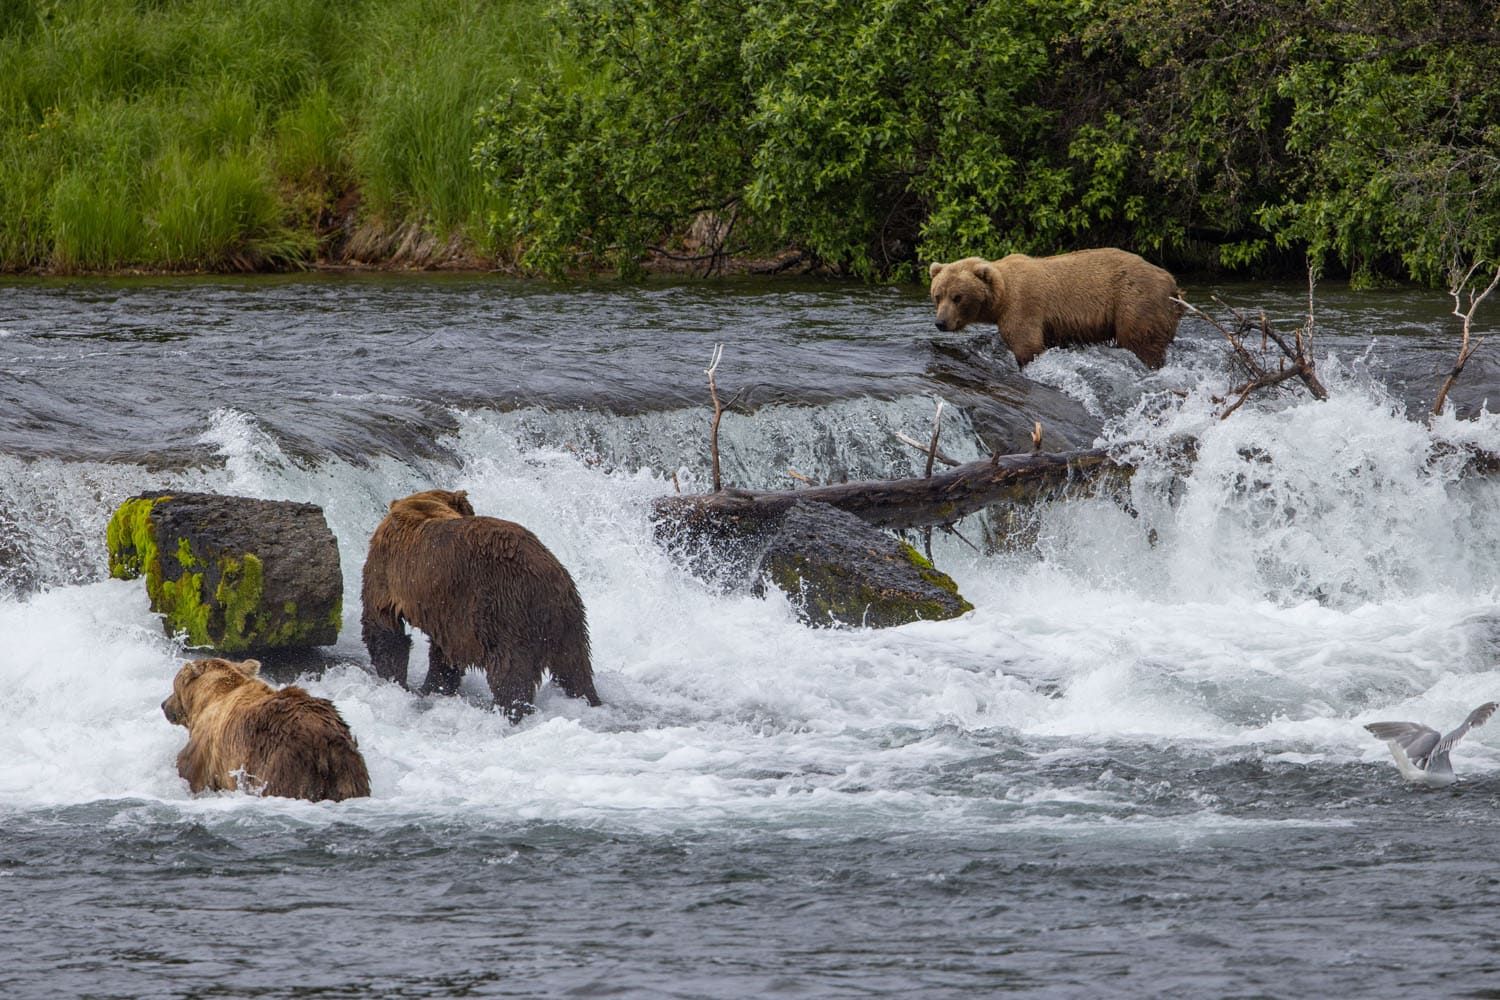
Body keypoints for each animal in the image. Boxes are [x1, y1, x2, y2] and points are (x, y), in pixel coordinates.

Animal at [160, 656, 372, 803]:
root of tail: (323, 742)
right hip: (347, 770)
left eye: (174, 685)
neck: (210, 698)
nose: (164, 705)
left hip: (281, 765)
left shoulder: (207, 744)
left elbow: (190, 771)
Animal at [360, 488, 600, 722]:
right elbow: (444, 654)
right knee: (575, 668)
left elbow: (383, 628)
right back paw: (588, 699)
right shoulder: (449, 615)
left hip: (504, 610)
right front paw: (433, 687)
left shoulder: (385, 571)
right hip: (569, 621)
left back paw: (509, 712)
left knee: (510, 674)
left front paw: (396, 679)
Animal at [924, 248, 1182, 371]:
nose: (941, 322)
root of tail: (1171, 281)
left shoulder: (1022, 307)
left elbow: (1027, 345)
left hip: (1135, 300)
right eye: (938, 295)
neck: (1001, 297)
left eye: (957, 297)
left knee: (1141, 340)